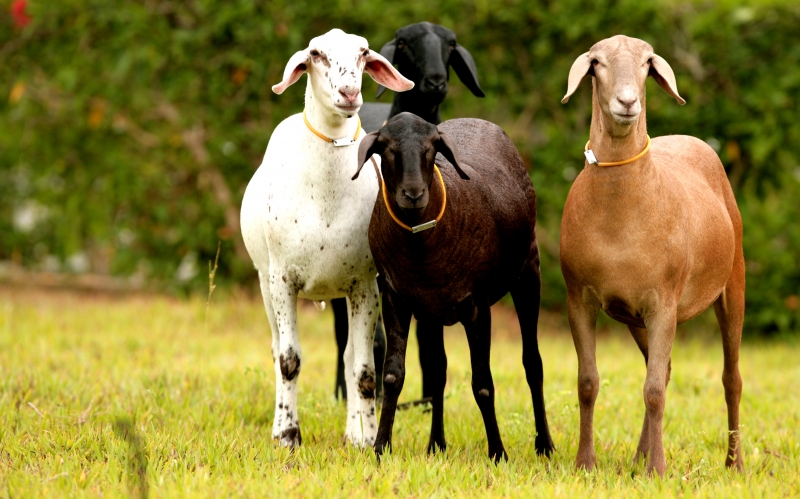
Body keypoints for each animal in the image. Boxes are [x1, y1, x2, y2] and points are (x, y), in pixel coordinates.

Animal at [238, 29, 412, 448]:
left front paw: (367, 439)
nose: (349, 92)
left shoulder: (365, 284)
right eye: (316, 54)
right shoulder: (282, 280)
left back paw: (353, 432)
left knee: (349, 358)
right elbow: (289, 361)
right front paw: (288, 435)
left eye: (364, 53)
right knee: (276, 351)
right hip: (265, 283)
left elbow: (364, 371)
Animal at [354, 111, 552, 462]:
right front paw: (380, 447)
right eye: (387, 147)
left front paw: (498, 453)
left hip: (529, 272)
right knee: (438, 372)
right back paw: (436, 444)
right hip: (433, 312)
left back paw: (545, 445)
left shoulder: (478, 307)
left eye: (433, 146)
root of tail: (476, 119)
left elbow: (483, 384)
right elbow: (393, 375)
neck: (420, 243)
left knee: (533, 363)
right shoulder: (395, 298)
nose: (413, 194)